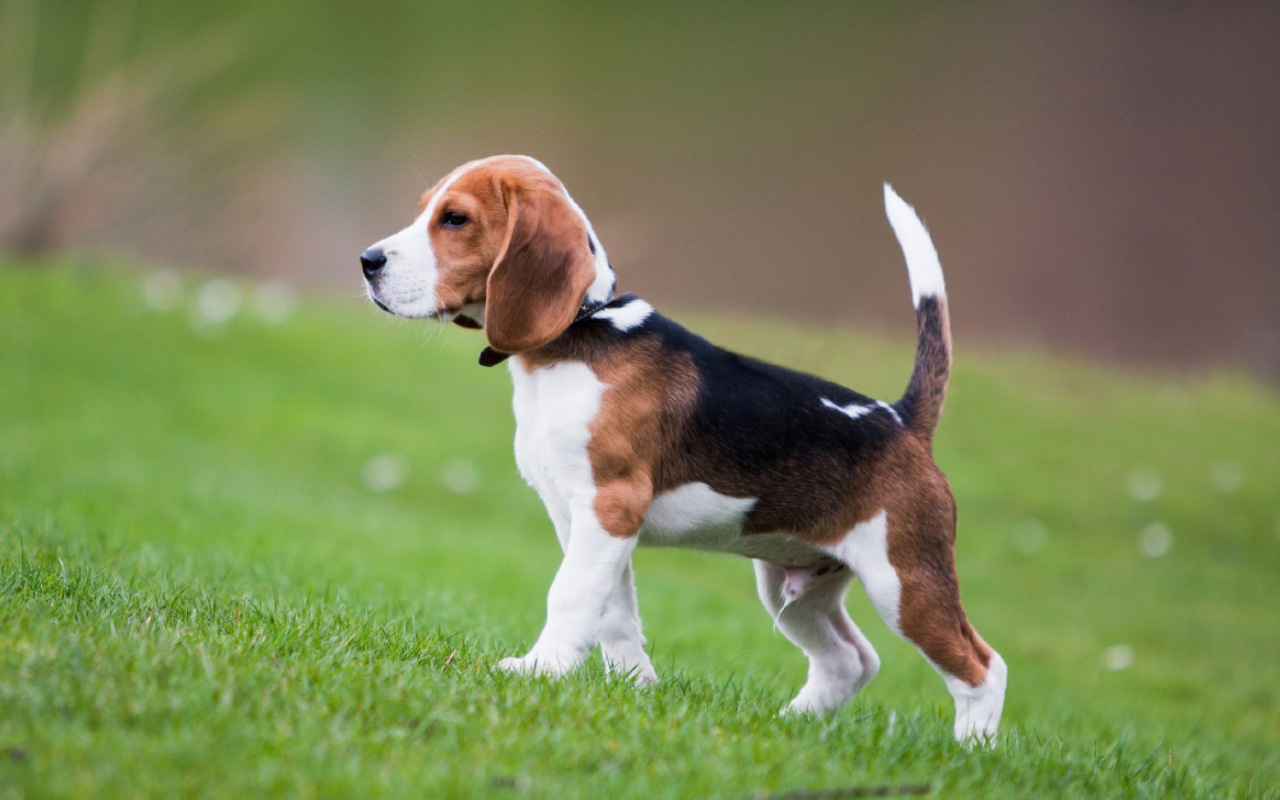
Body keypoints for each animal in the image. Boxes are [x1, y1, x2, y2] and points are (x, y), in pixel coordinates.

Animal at [355, 154, 1003, 742]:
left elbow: (569, 594)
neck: (579, 331)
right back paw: (788, 725)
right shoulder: (583, 521)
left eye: (455, 218)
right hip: (793, 585)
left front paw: (540, 669)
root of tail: (901, 419)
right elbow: (612, 611)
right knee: (851, 660)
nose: (367, 262)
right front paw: (634, 686)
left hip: (905, 581)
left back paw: (972, 752)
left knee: (982, 668)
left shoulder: (609, 507)